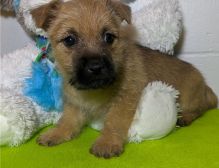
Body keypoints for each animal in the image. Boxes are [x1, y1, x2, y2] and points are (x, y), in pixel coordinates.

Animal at [30, 0, 217, 158]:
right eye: (70, 40)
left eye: (109, 37)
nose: (96, 67)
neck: (94, 91)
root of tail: (205, 86)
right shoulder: (75, 103)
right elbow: (67, 120)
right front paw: (56, 133)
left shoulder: (123, 100)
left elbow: (114, 121)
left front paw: (107, 142)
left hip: (188, 98)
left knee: (200, 108)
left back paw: (185, 117)